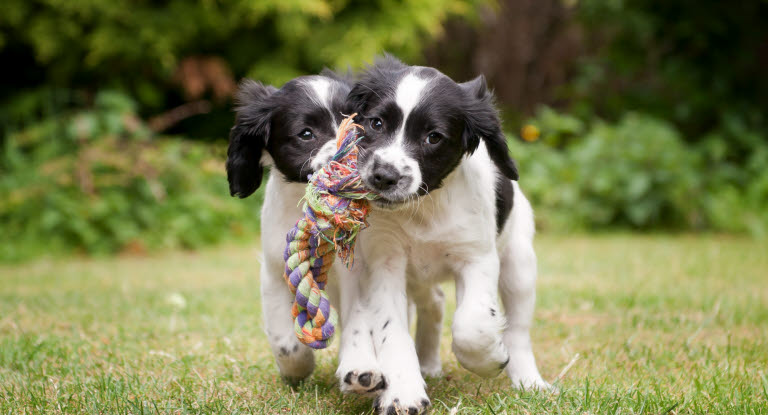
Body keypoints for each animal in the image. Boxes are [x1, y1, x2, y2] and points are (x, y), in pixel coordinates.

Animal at [340, 57, 548, 414]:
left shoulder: (477, 258)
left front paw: (489, 358)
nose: (383, 176)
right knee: (434, 302)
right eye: (376, 123)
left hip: (519, 264)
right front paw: (403, 393)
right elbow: (392, 330)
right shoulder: (385, 262)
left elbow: (471, 324)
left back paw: (529, 381)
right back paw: (427, 364)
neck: (424, 208)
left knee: (519, 330)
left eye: (433, 137)